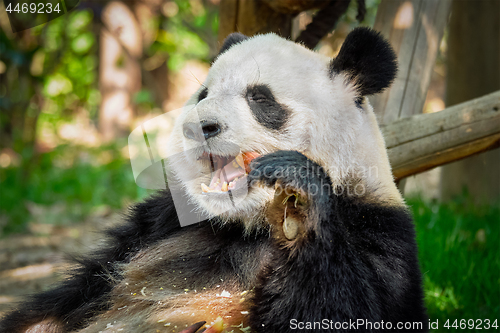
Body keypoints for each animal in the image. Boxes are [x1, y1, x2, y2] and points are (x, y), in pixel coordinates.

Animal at [1, 28, 428, 332]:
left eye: (260, 98)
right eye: (203, 93)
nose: (198, 127)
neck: (244, 224)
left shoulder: (378, 233)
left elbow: (344, 309)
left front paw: (299, 198)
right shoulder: (155, 223)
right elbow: (72, 297)